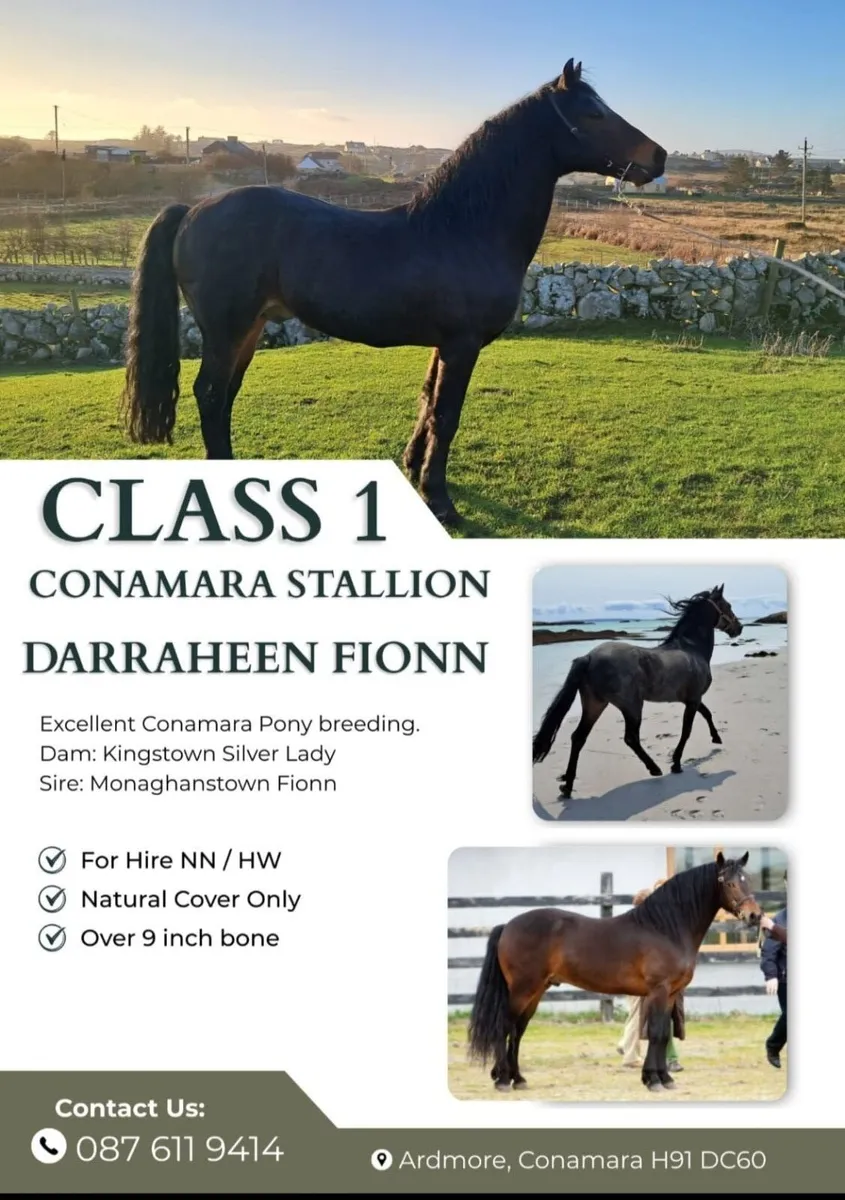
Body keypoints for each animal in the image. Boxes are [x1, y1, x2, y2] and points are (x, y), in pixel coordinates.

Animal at [121, 59, 665, 526]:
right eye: (593, 112)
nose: (657, 157)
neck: (463, 229)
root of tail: (193, 209)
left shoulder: (445, 345)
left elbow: (427, 402)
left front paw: (413, 468)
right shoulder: (463, 345)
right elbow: (447, 415)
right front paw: (440, 501)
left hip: (248, 331)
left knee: (223, 397)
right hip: (227, 331)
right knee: (211, 395)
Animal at [468, 852, 761, 1093]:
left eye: (748, 880)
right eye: (729, 883)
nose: (754, 916)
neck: (665, 928)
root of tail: (508, 925)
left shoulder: (669, 994)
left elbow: (663, 1034)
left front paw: (663, 1079)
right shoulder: (659, 990)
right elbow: (656, 1033)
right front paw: (654, 1081)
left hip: (537, 991)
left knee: (518, 1030)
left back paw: (517, 1079)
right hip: (522, 989)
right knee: (505, 1026)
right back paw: (503, 1080)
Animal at [532, 584, 743, 799]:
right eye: (727, 605)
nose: (739, 628)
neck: (691, 649)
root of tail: (589, 657)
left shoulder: (692, 699)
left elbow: (707, 714)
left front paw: (716, 738)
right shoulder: (693, 699)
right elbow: (687, 730)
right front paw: (676, 764)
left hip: (595, 704)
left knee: (578, 737)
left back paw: (567, 786)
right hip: (632, 706)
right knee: (631, 738)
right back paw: (655, 769)